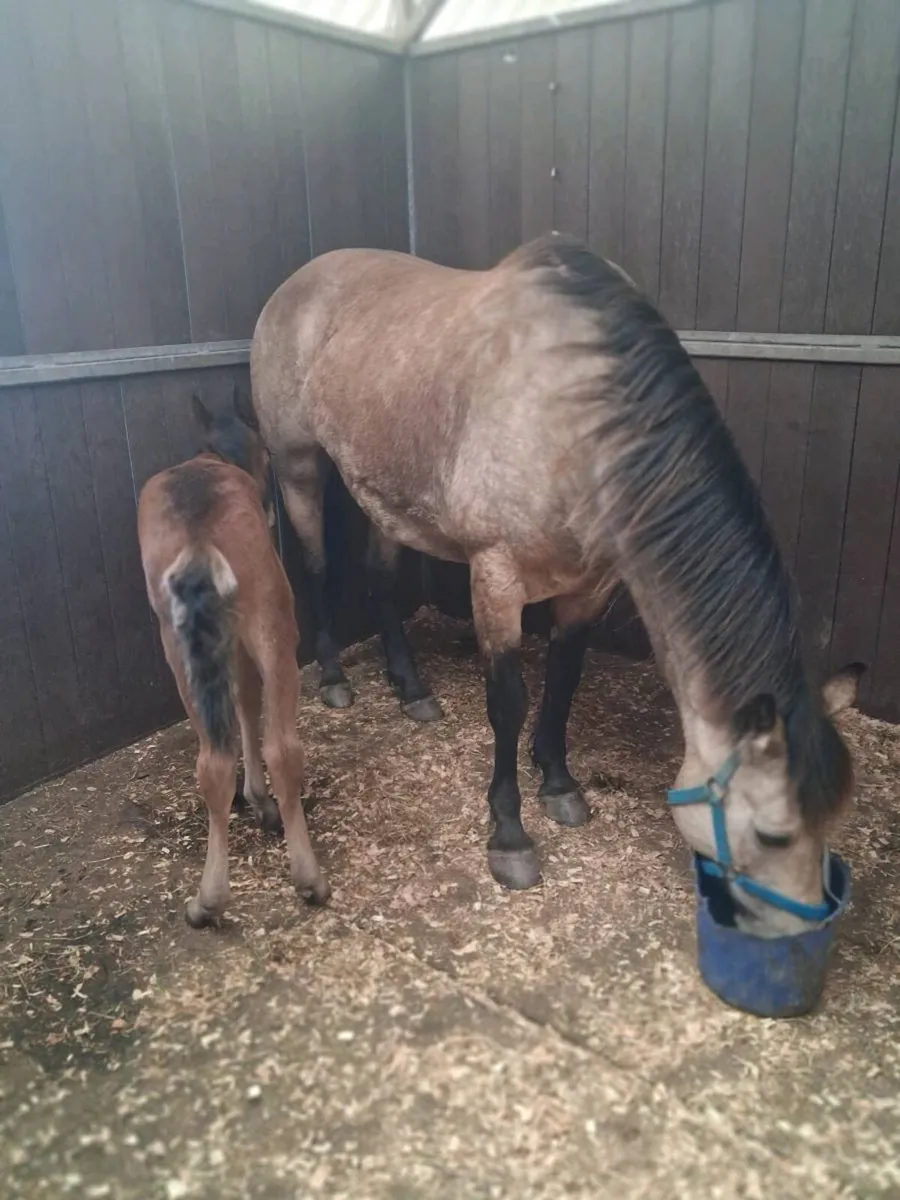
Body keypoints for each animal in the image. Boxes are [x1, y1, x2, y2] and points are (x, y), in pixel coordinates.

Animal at [137, 390, 330, 926]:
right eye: (265, 452)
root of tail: (199, 534)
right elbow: (247, 705)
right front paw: (260, 800)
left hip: (178, 646)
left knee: (212, 762)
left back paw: (206, 901)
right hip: (274, 623)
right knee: (281, 748)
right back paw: (307, 878)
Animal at [250, 233, 862, 937]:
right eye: (772, 835)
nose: (800, 934)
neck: (571, 423)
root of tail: (292, 285)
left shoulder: (589, 587)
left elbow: (564, 680)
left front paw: (560, 784)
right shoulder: (495, 578)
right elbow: (508, 702)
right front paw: (510, 835)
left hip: (383, 488)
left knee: (379, 581)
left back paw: (411, 688)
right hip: (298, 467)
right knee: (316, 569)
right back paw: (333, 678)